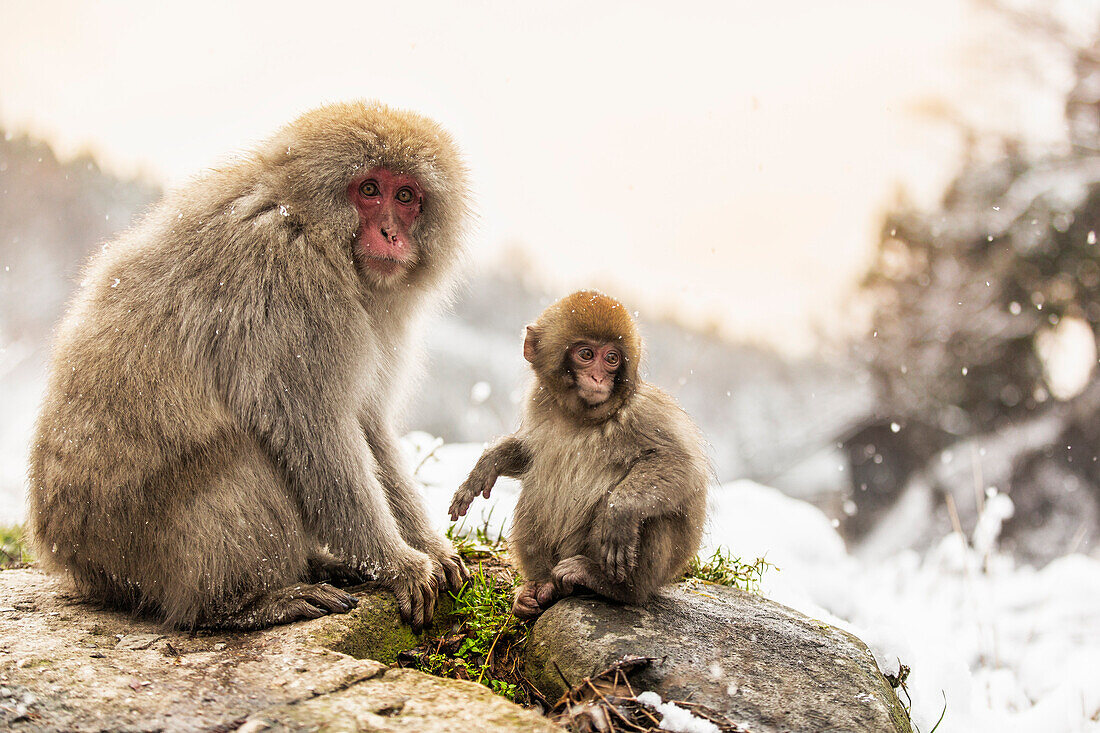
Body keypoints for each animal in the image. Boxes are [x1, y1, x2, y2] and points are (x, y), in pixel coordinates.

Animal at [27, 101, 470, 629]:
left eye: (405, 196)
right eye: (369, 190)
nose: (390, 234)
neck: (306, 224)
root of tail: (64, 553)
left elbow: (367, 423)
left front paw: (429, 547)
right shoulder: (289, 283)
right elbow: (314, 429)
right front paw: (398, 564)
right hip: (134, 544)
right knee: (242, 454)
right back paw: (242, 602)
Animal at [451, 290, 708, 616]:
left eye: (611, 358)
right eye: (586, 354)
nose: (598, 378)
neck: (581, 417)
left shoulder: (647, 411)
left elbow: (681, 465)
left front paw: (620, 510)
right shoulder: (538, 402)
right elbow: (529, 454)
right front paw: (486, 466)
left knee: (652, 513)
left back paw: (609, 584)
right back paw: (539, 588)